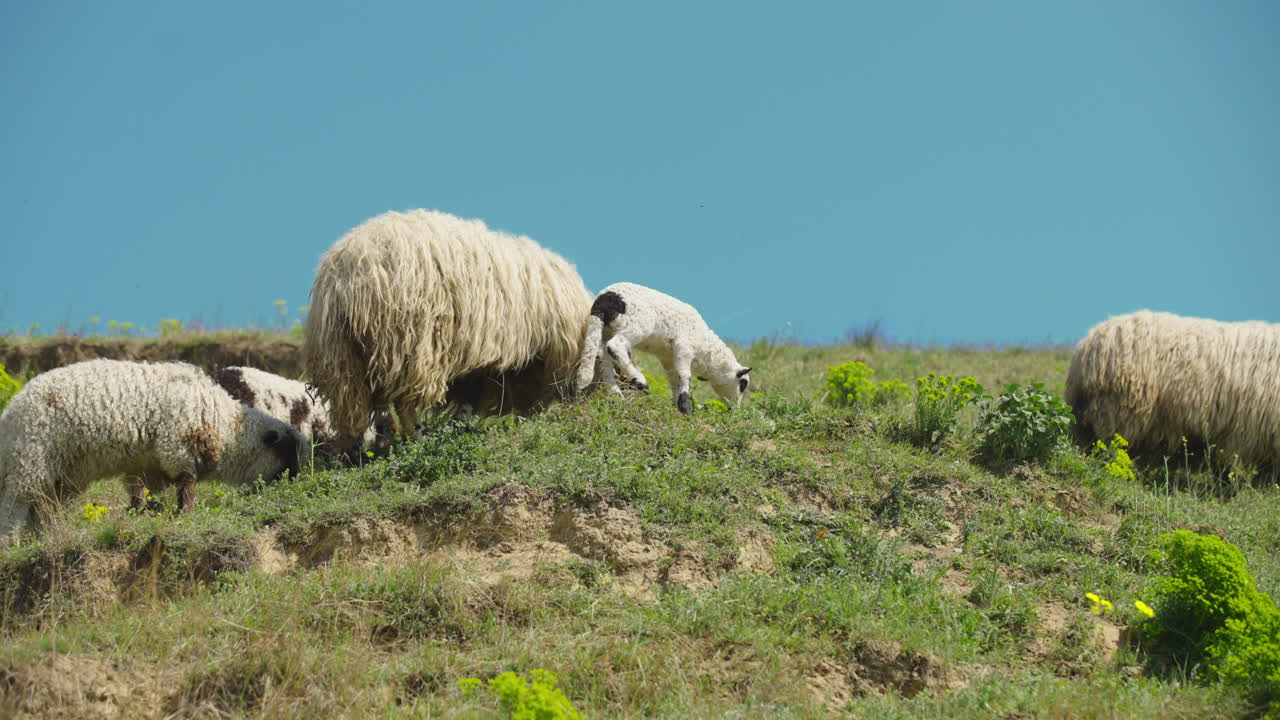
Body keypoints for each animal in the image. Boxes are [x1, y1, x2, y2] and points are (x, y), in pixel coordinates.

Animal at [0, 359, 307, 543]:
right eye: (287, 454)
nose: (295, 481)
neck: (228, 428)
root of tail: (10, 413)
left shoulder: (146, 464)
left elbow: (141, 493)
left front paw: (141, 514)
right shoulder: (179, 448)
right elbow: (186, 487)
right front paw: (183, 517)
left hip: (61, 475)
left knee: (41, 509)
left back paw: (46, 538)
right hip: (31, 459)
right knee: (15, 506)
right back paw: (12, 542)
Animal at [302, 209, 593, 445]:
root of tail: (346, 275)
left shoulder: (479, 354)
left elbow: (469, 395)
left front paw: (459, 426)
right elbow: (471, 394)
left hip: (343, 356)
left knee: (356, 405)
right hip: (409, 339)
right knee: (403, 399)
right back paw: (419, 436)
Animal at [573, 282, 751, 414]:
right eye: (743, 384)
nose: (735, 410)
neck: (706, 348)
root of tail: (604, 299)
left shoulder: (668, 357)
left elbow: (674, 380)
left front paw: (677, 405)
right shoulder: (684, 347)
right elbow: (685, 376)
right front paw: (686, 408)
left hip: (605, 330)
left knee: (602, 356)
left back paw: (616, 394)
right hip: (636, 325)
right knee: (615, 346)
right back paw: (640, 382)